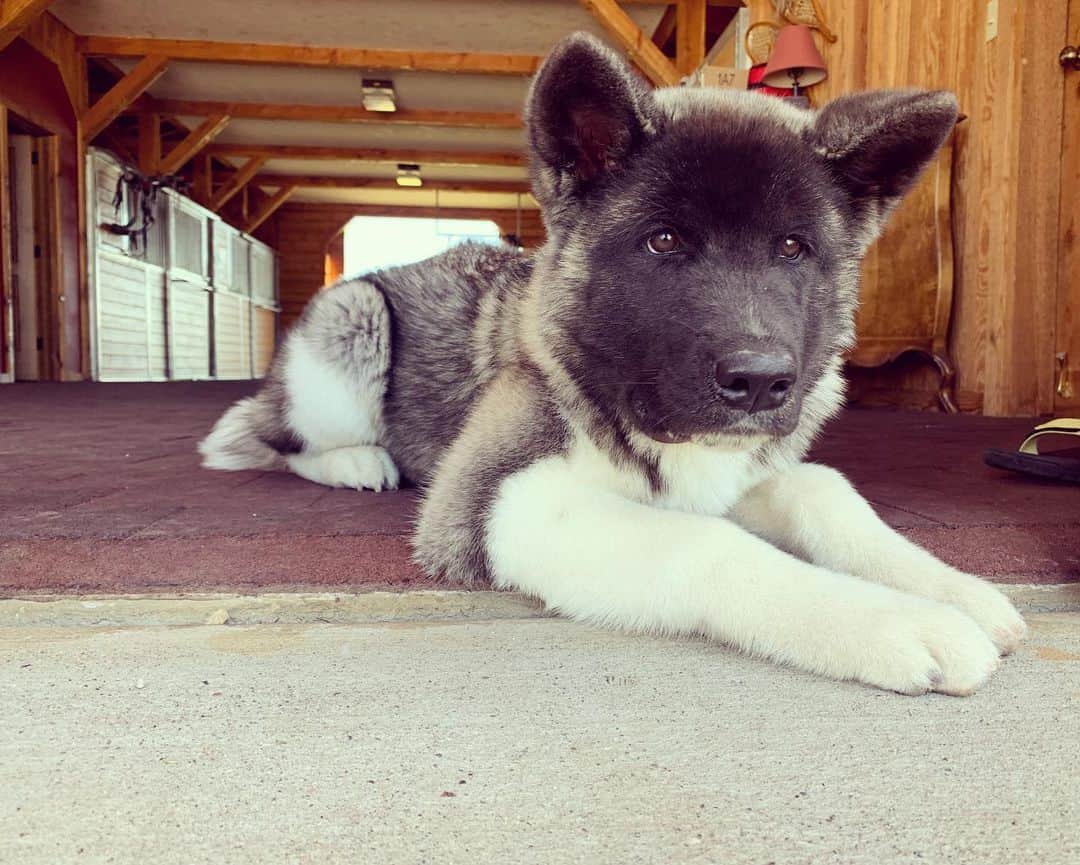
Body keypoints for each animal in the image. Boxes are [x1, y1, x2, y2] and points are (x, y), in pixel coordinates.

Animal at [200, 33, 1025, 695]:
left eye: (794, 248)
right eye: (663, 241)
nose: (761, 380)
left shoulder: (731, 475)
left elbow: (824, 493)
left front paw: (951, 586)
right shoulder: (496, 503)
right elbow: (710, 544)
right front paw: (891, 619)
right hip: (352, 322)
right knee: (269, 438)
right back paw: (355, 461)